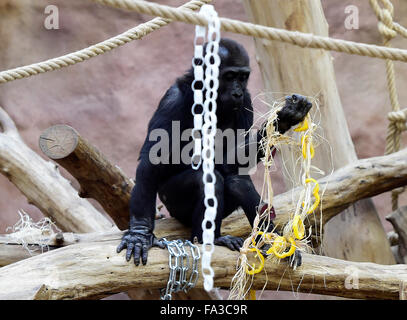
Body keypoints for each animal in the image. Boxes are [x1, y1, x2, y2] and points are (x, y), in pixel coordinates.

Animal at [118, 38, 312, 266]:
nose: (237, 92)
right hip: (172, 206)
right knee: (207, 179)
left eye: (242, 77)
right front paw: (139, 234)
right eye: (229, 76)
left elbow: (235, 159)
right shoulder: (173, 100)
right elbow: (152, 161)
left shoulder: (246, 102)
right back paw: (206, 238)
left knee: (237, 180)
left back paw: (269, 242)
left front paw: (285, 117)